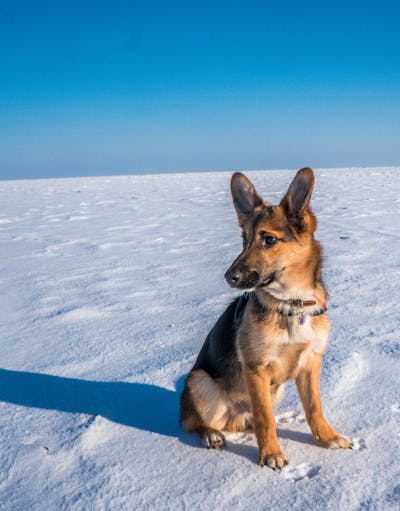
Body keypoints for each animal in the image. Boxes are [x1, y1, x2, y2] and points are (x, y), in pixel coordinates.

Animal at [180, 169, 352, 472]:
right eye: (243, 239)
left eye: (269, 240)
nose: (229, 277)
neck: (292, 305)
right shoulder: (256, 369)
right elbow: (264, 418)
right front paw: (271, 453)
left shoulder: (310, 363)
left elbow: (314, 408)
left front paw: (328, 437)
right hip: (200, 381)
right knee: (196, 422)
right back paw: (211, 434)